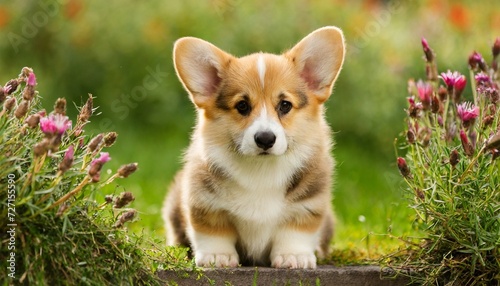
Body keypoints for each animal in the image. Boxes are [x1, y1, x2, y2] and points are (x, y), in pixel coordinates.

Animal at [163, 26, 344, 268]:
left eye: (285, 105)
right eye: (242, 106)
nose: (265, 139)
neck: (261, 169)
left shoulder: (307, 203)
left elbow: (295, 232)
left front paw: (294, 256)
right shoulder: (204, 202)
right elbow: (212, 232)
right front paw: (217, 256)